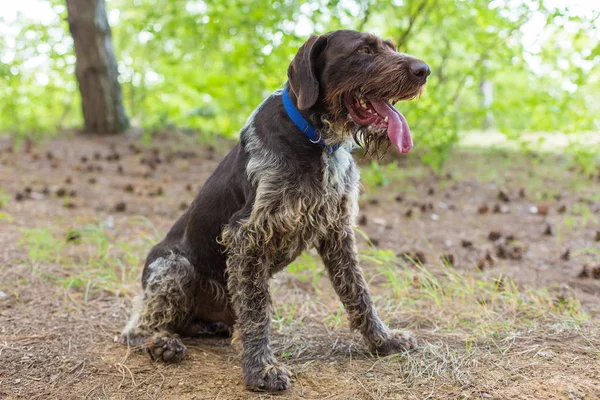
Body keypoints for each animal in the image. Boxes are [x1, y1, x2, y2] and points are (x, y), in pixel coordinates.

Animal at [120, 30, 432, 390]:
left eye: (391, 47)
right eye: (364, 50)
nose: (424, 70)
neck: (316, 139)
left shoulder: (337, 231)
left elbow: (358, 292)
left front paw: (383, 341)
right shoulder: (248, 235)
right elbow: (257, 313)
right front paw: (261, 370)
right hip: (174, 268)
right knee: (137, 326)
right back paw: (162, 343)